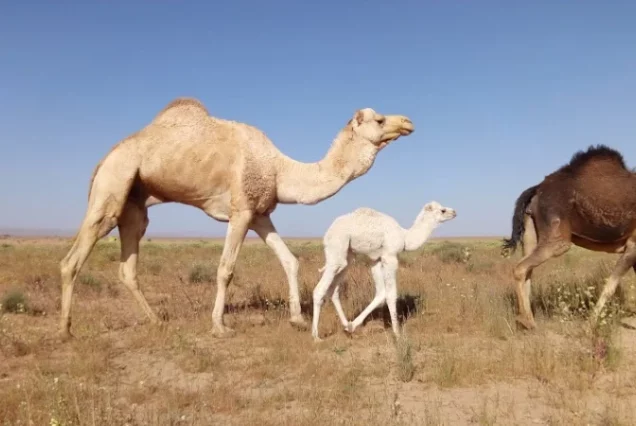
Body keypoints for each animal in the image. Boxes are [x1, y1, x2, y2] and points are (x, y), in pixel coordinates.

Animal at [58, 96, 418, 340]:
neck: (280, 169)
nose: (408, 122)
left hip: (134, 203)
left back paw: (156, 320)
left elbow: (290, 260)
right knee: (74, 256)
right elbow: (225, 269)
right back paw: (65, 330)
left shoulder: (260, 213)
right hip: (113, 184)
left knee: (128, 264)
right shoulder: (240, 210)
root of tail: (105, 157)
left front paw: (297, 319)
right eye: (380, 120)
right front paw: (219, 326)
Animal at [310, 201, 454, 342]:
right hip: (337, 249)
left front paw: (353, 325)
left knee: (333, 289)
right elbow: (391, 294)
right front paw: (397, 333)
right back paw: (316, 336)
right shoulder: (390, 256)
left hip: (347, 256)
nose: (454, 212)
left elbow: (381, 293)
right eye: (443, 210)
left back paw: (346, 325)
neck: (404, 236)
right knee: (319, 290)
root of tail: (328, 233)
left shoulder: (376, 259)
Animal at [504, 144, 636, 330]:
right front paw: (590, 323)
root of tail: (537, 188)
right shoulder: (633, 245)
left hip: (531, 230)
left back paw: (526, 319)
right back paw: (527, 322)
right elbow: (610, 285)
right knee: (520, 268)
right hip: (558, 238)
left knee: (527, 268)